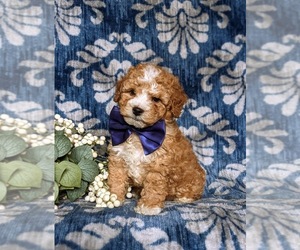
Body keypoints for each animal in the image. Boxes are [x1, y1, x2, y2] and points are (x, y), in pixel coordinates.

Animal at [108, 63, 206, 215]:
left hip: (193, 177)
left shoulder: (159, 166)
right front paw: (113, 198)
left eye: (156, 99)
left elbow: (154, 187)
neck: (139, 133)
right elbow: (116, 179)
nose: (137, 109)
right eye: (131, 92)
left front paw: (148, 206)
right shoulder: (118, 157)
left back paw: (184, 198)